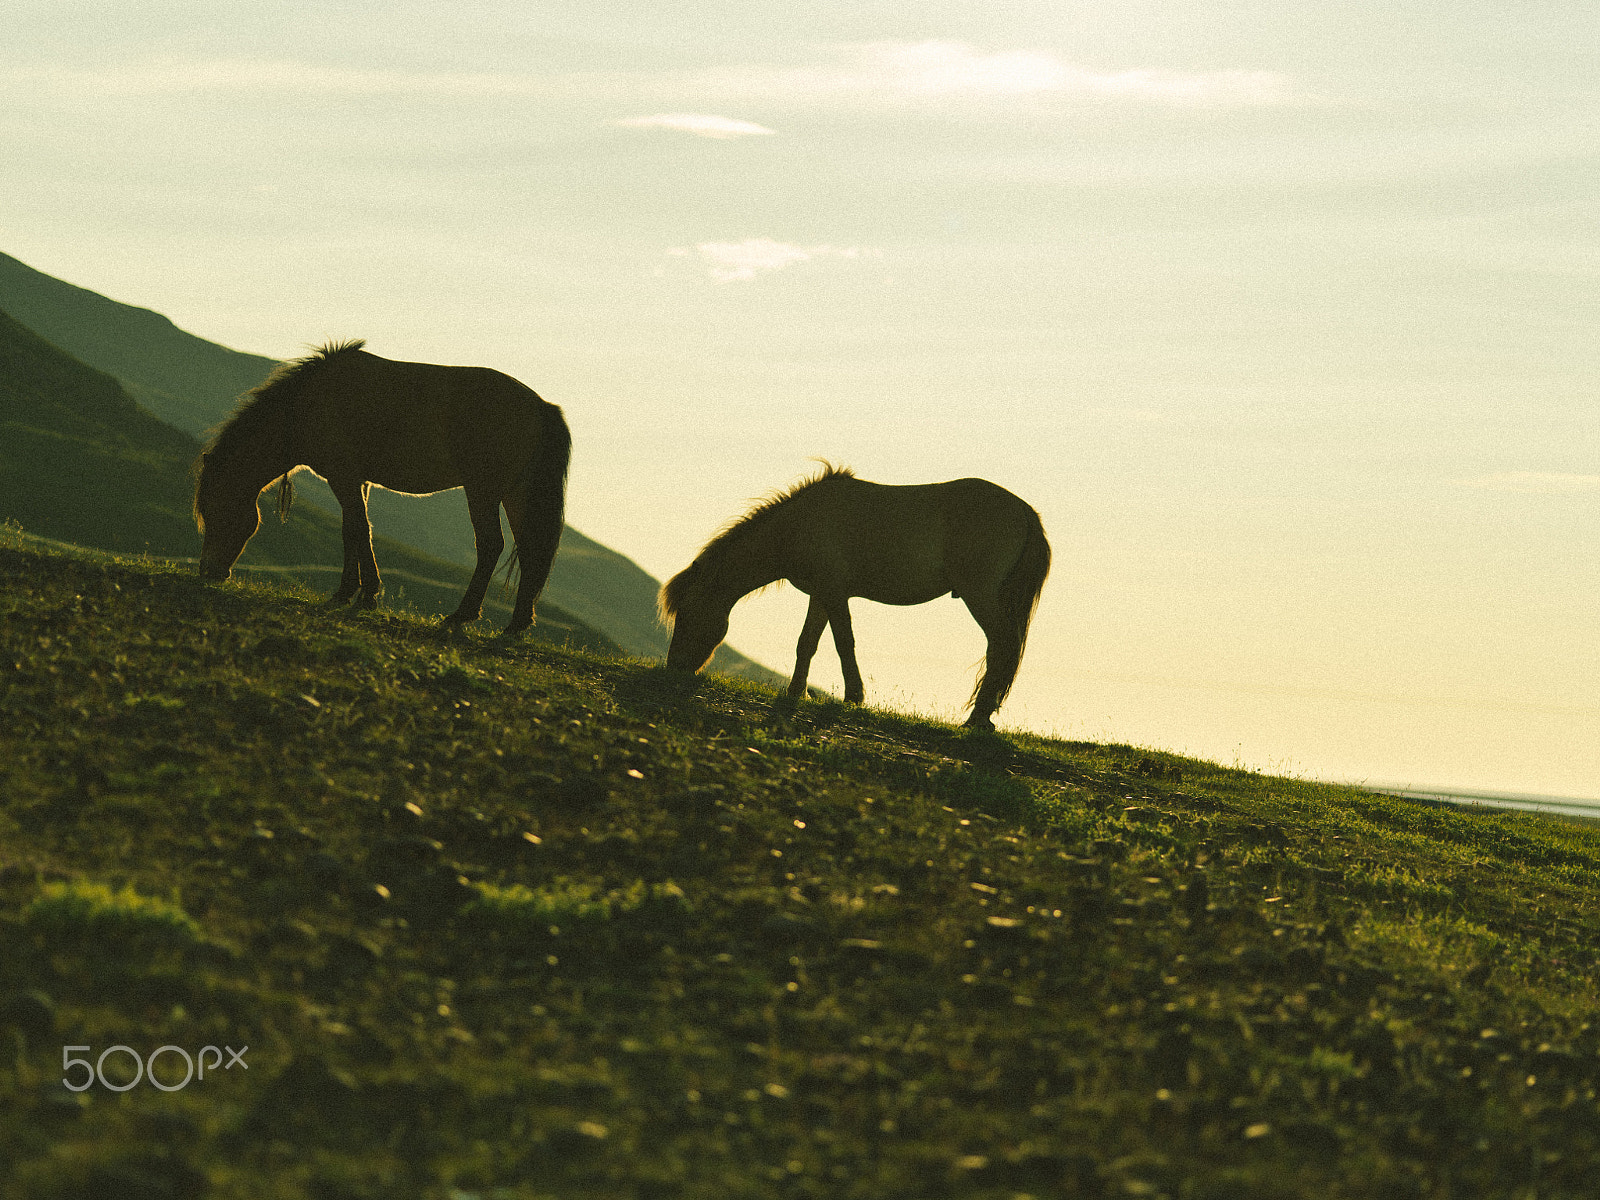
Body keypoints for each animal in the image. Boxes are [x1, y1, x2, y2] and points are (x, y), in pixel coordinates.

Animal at [194, 340, 572, 640]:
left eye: (215, 511)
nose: (208, 572)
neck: (307, 405)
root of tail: (542, 406)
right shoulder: (355, 481)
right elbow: (352, 531)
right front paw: (346, 593)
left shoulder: (343, 477)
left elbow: (359, 530)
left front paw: (367, 596)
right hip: (515, 494)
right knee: (530, 551)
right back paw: (516, 625)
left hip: (484, 491)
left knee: (491, 545)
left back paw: (460, 616)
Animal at [662, 467, 1049, 732]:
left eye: (687, 613)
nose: (673, 668)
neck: (796, 525)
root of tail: (1026, 511)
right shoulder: (820, 594)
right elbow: (807, 643)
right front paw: (796, 692)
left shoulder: (835, 593)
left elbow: (844, 642)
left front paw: (854, 697)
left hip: (980, 596)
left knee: (1001, 647)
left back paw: (977, 719)